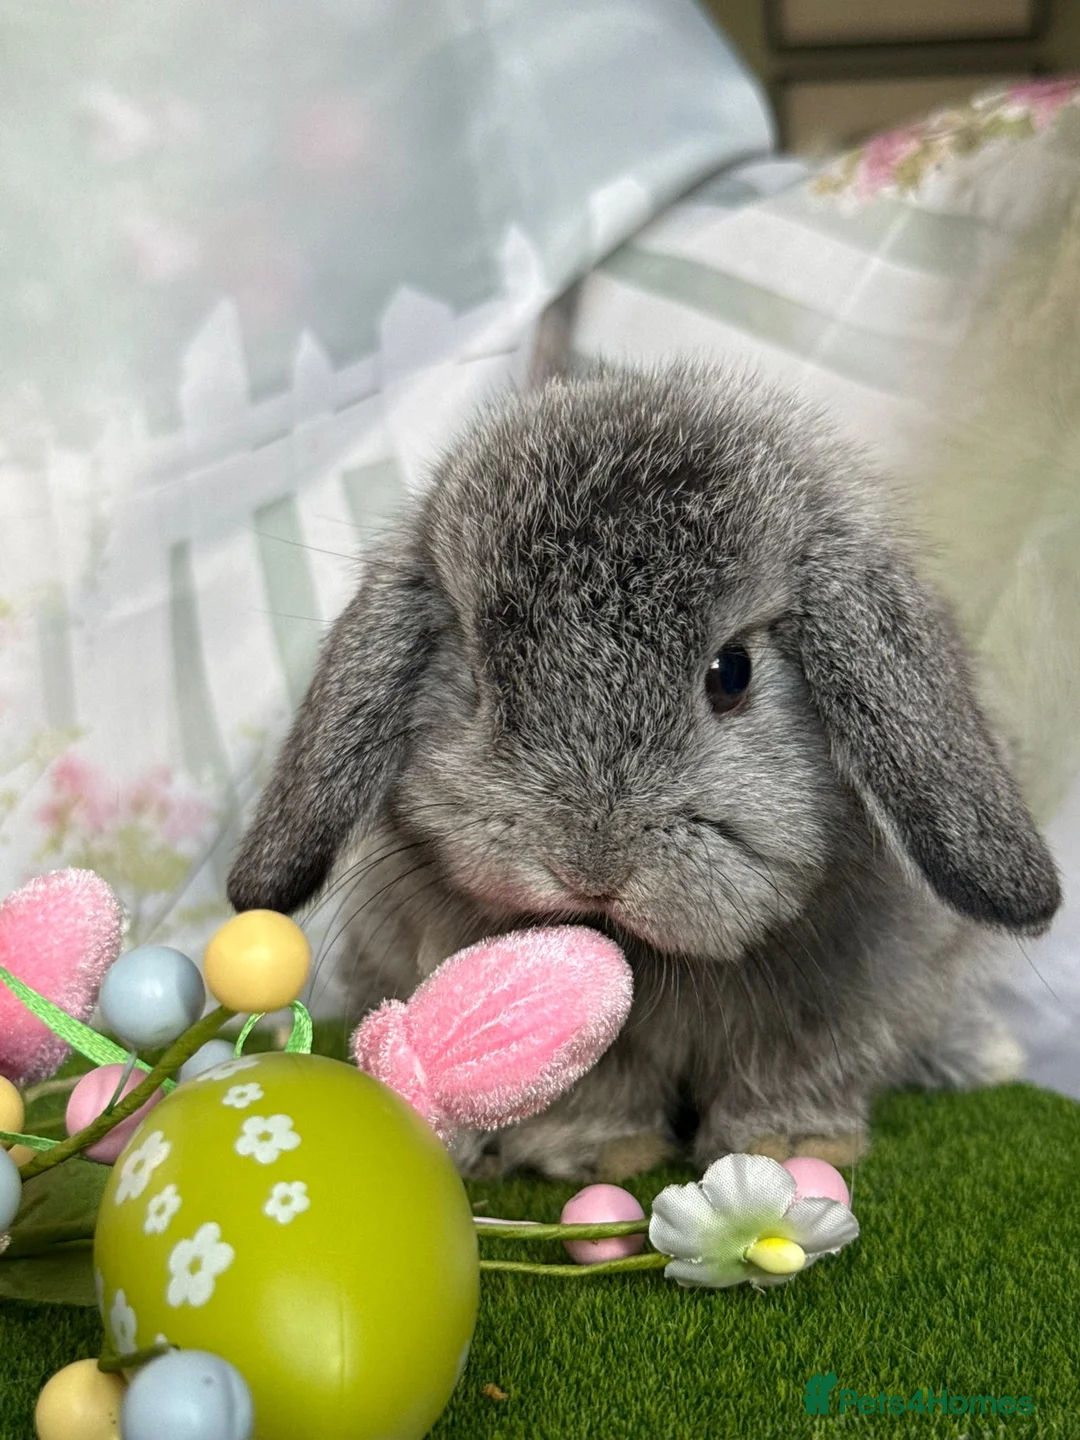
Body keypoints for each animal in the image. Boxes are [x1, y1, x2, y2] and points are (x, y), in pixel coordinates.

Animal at [227, 362, 1061, 1181]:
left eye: (732, 672)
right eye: (480, 680)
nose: (590, 871)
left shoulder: (836, 1004)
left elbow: (794, 1071)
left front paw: (789, 1147)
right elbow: (594, 1086)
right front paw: (601, 1152)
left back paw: (978, 1057)